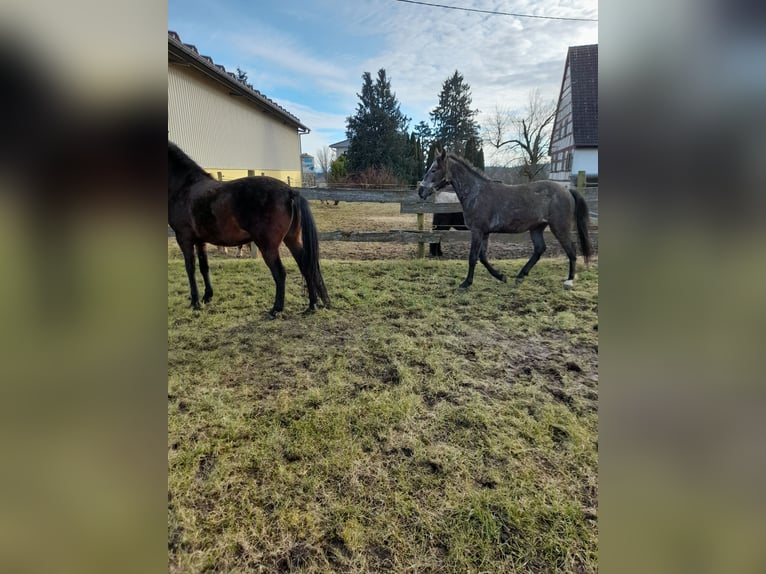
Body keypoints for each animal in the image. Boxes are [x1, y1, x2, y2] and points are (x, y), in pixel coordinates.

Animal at [169, 141, 330, 318]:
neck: (186, 187)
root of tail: (290, 192)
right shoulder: (199, 240)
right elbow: (204, 267)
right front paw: (207, 297)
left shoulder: (184, 238)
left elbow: (190, 269)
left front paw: (195, 302)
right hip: (292, 240)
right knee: (306, 267)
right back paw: (312, 305)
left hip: (268, 247)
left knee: (280, 273)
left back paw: (276, 309)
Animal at [420, 150, 592, 292]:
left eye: (434, 170)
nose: (421, 191)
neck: (477, 193)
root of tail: (567, 190)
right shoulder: (485, 233)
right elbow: (483, 257)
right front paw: (501, 277)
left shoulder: (477, 231)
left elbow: (473, 258)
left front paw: (465, 284)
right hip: (537, 228)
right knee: (539, 249)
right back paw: (520, 276)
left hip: (559, 227)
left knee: (571, 250)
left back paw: (569, 281)